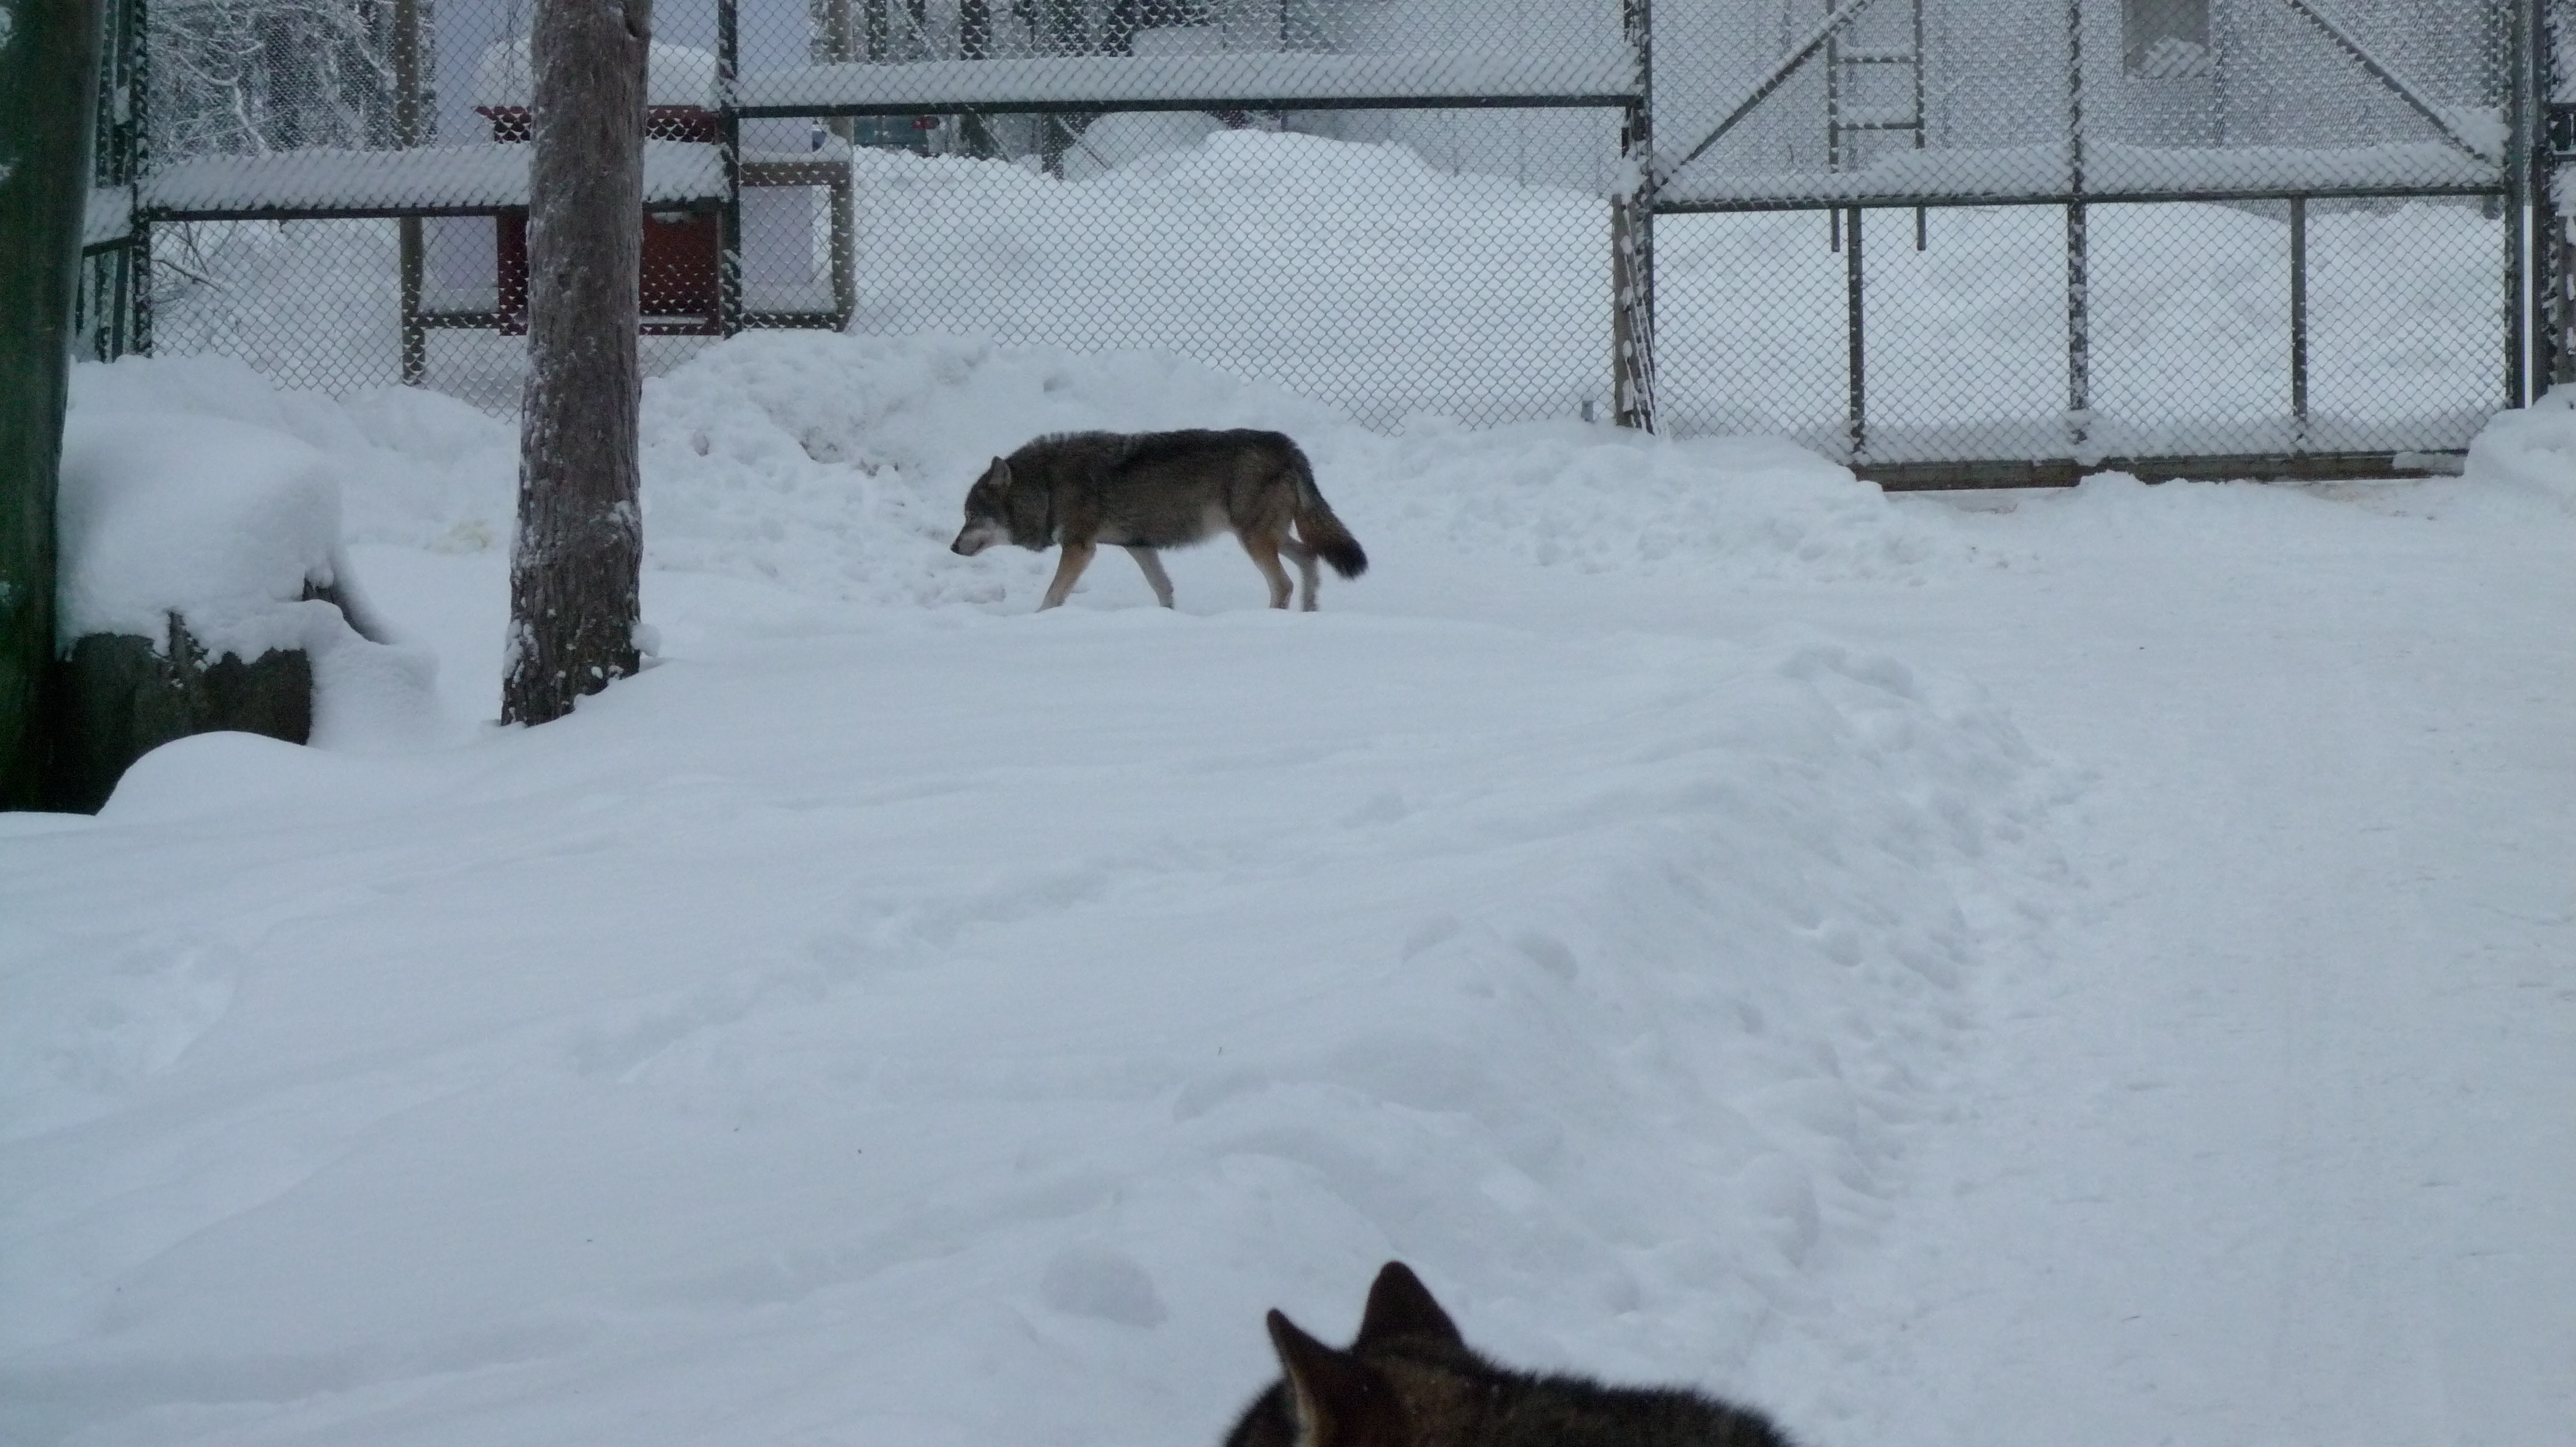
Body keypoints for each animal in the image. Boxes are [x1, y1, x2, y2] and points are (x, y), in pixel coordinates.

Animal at [948, 429, 1367, 612]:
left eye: (970, 516)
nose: (952, 547)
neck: (1048, 486)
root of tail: (1288, 445)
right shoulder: (1139, 546)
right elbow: (1162, 588)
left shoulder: (1080, 548)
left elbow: (1052, 595)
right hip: (1268, 535)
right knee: (1309, 558)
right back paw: (1309, 614)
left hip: (1254, 539)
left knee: (1282, 584)